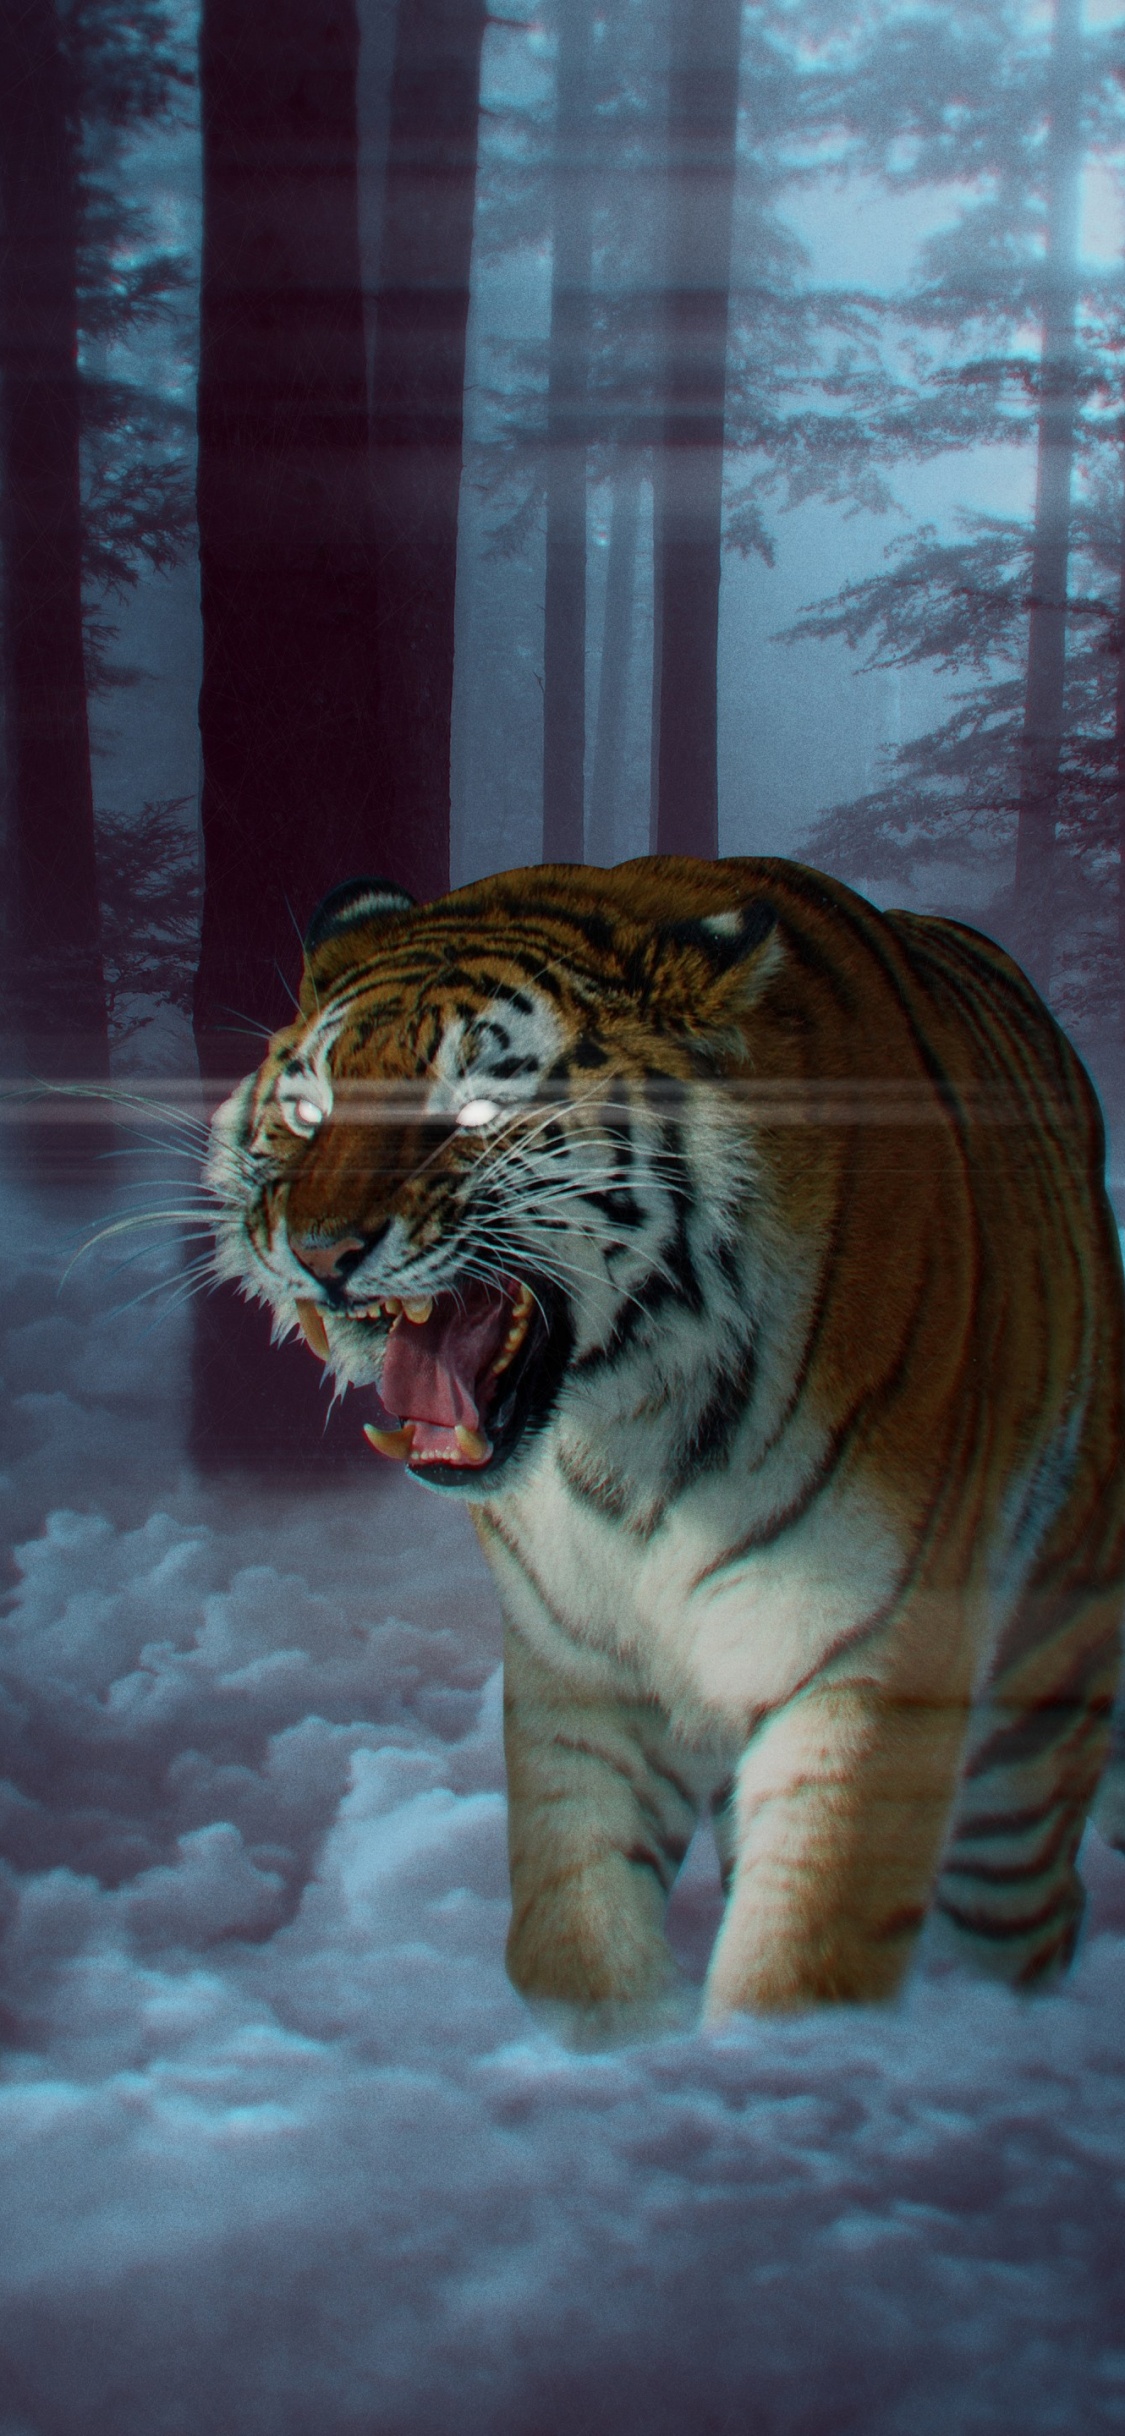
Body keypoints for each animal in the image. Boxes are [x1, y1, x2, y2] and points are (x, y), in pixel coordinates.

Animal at [205, 854, 1125, 2029]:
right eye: (308, 1111)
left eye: (476, 1109)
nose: (320, 1252)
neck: (626, 1437)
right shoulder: (576, 1668)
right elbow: (572, 1926)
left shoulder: (873, 1658)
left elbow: (807, 1955)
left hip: (1032, 1718)